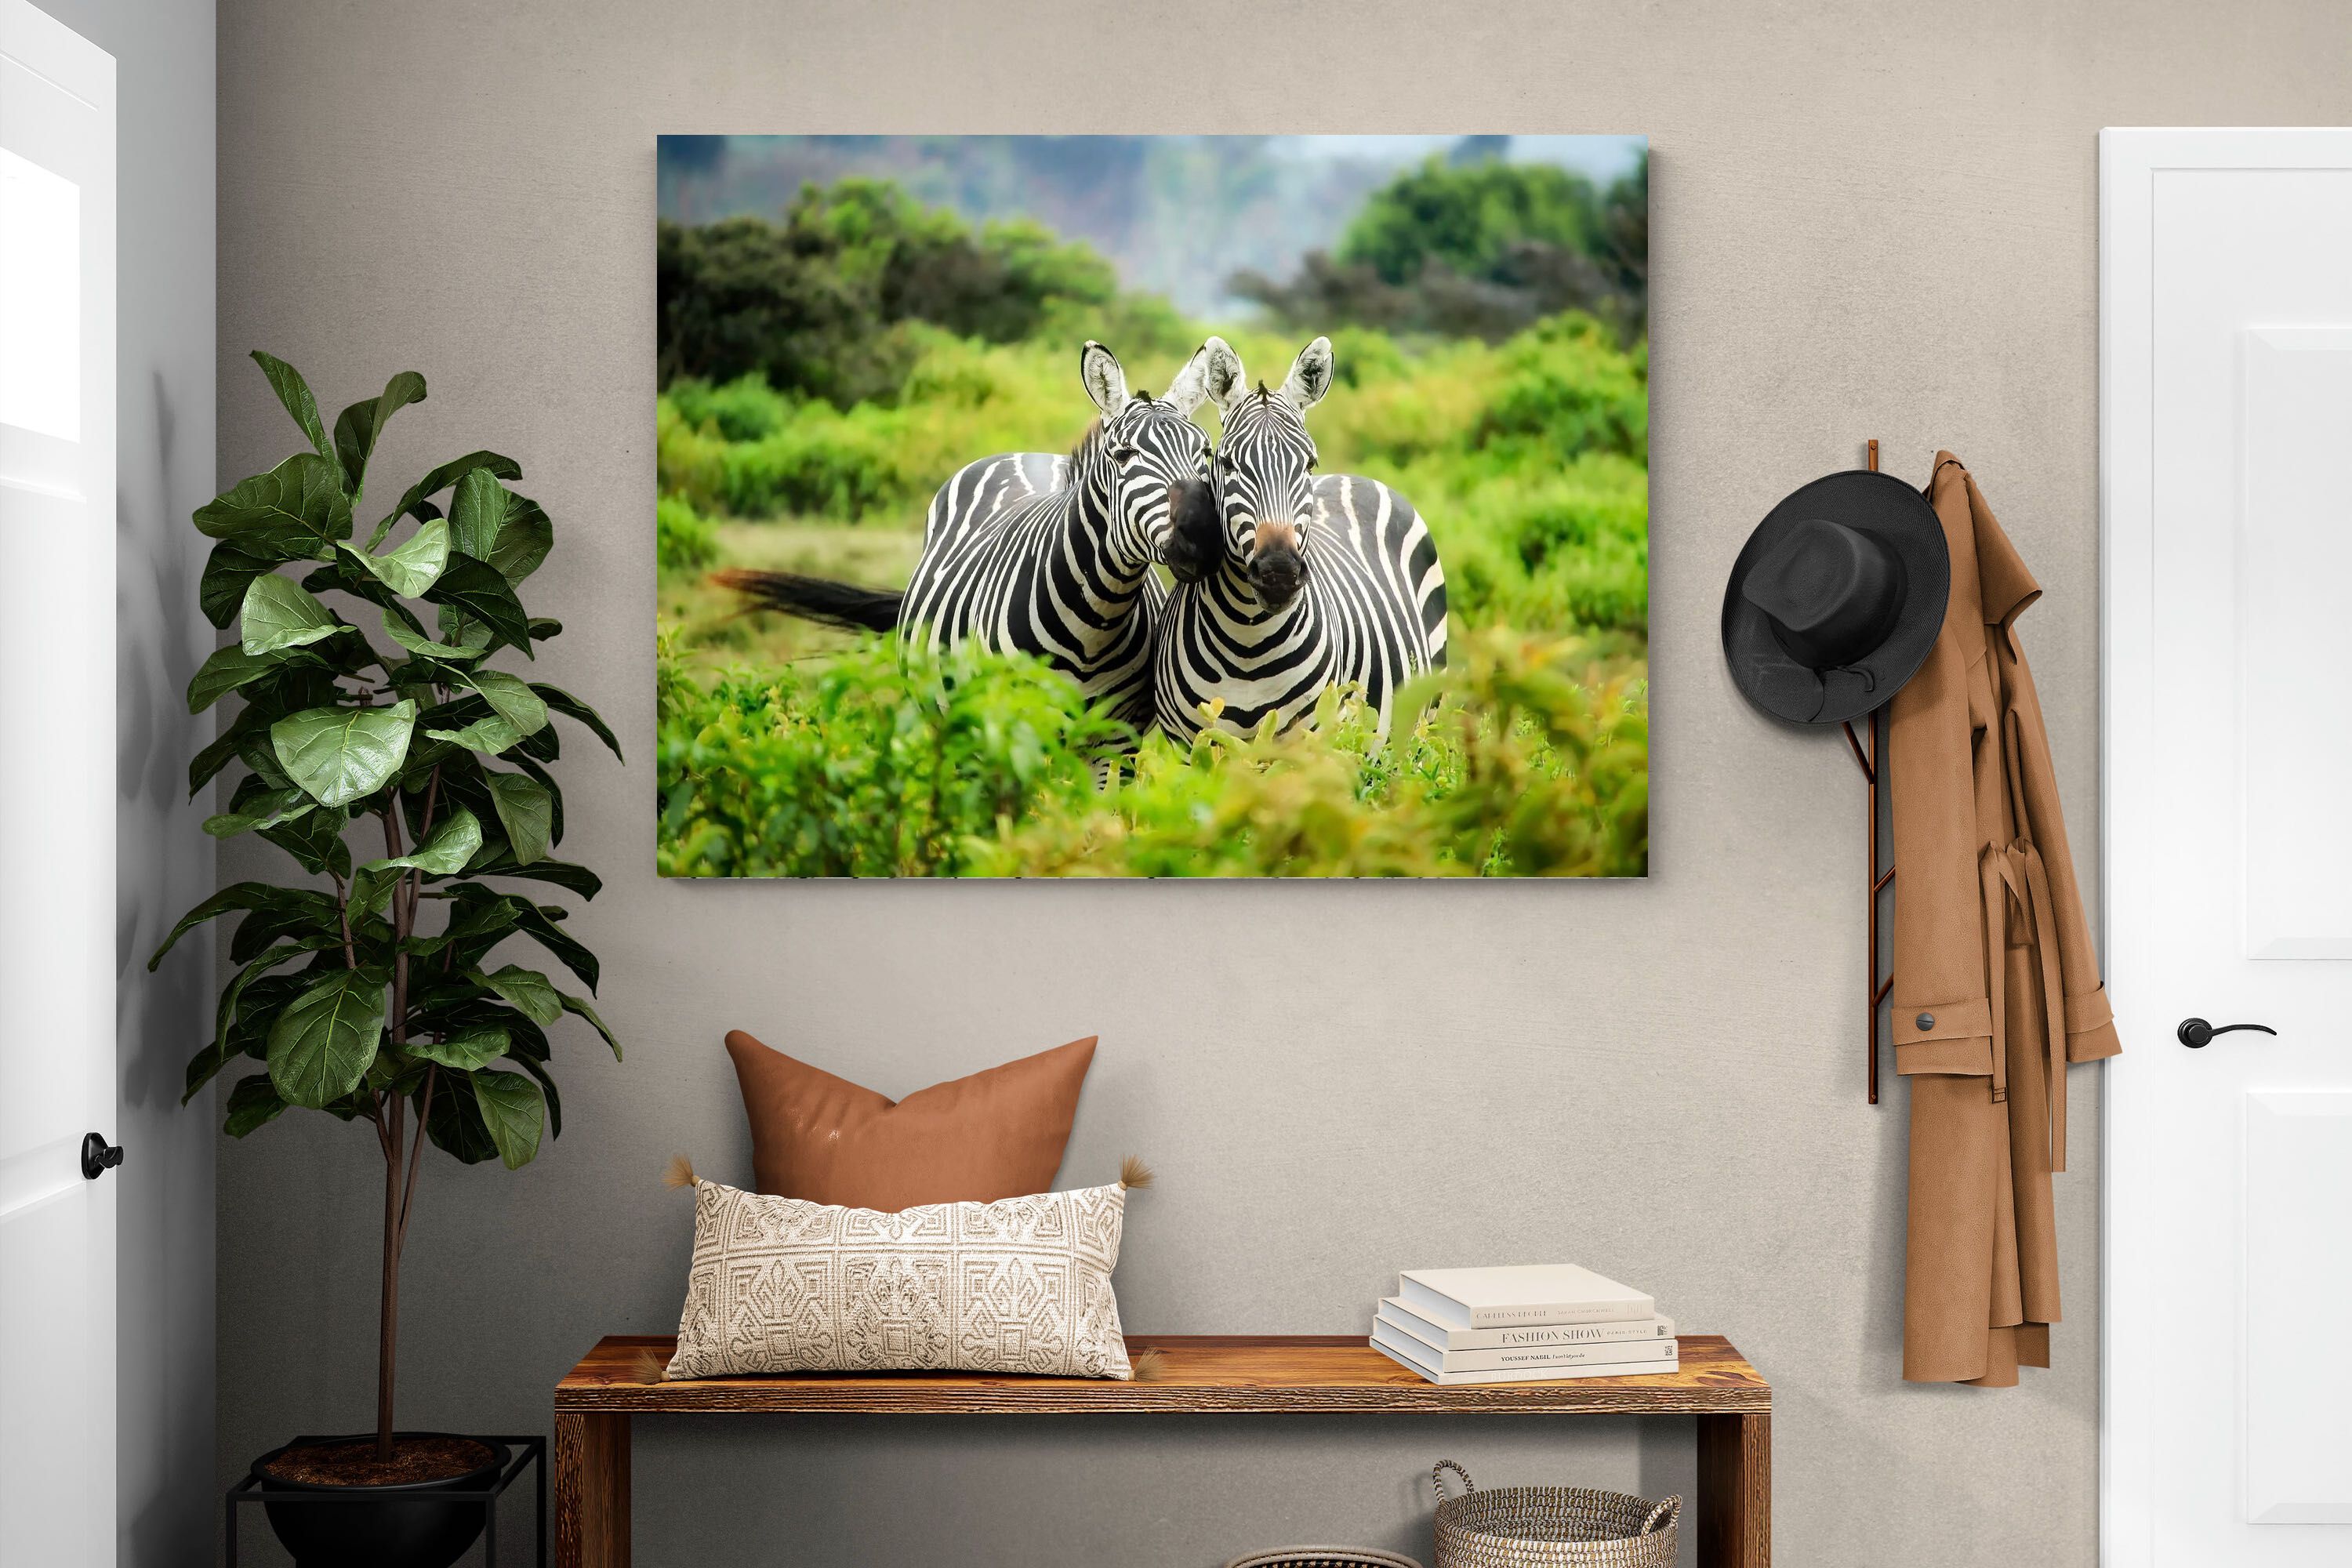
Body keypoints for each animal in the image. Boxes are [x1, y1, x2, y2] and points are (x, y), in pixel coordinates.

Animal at [720, 341, 1223, 730]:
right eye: (1123, 455)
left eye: (1205, 452)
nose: (1202, 537)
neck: (1094, 621)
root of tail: (1025, 453)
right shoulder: (1009, 726)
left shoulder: (1116, 740)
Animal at [1152, 336, 1448, 742]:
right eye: (1227, 464)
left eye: (1309, 464)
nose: (1278, 573)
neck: (1248, 644)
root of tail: (1354, 477)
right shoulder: (1191, 744)